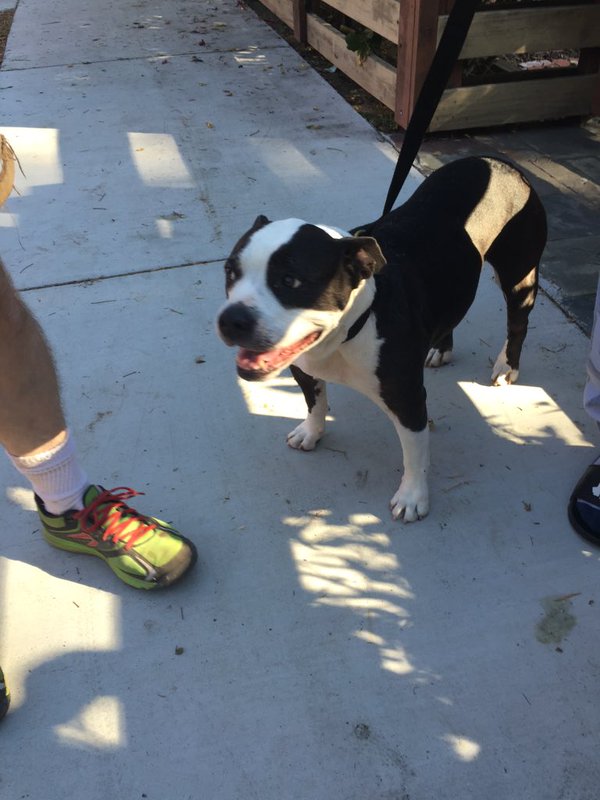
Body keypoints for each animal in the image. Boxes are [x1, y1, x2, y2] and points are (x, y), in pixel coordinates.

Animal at [216, 156, 547, 521]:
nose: (231, 319)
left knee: (518, 322)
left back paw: (506, 366)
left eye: (290, 281)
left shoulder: (407, 400)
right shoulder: (303, 368)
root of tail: (500, 162)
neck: (350, 331)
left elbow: (414, 453)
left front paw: (412, 496)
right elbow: (315, 403)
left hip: (519, 276)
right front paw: (311, 432)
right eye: (230, 272)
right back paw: (440, 349)